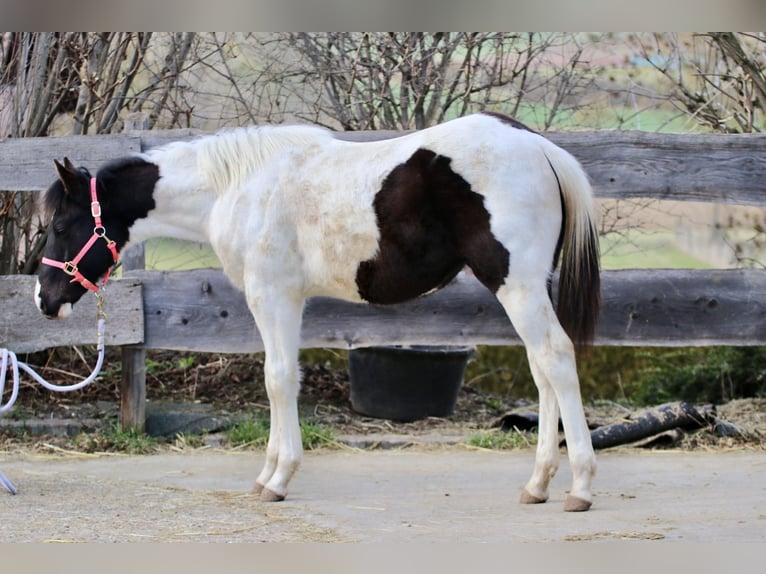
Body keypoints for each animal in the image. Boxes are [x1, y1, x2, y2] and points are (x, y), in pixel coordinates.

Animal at [35, 112, 600, 512]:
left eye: (61, 225)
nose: (44, 298)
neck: (237, 187)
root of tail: (540, 147)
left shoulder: (273, 295)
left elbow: (279, 379)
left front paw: (279, 479)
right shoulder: (285, 299)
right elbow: (279, 378)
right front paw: (267, 473)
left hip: (516, 284)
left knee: (555, 357)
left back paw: (580, 488)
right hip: (529, 287)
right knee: (541, 369)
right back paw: (538, 484)